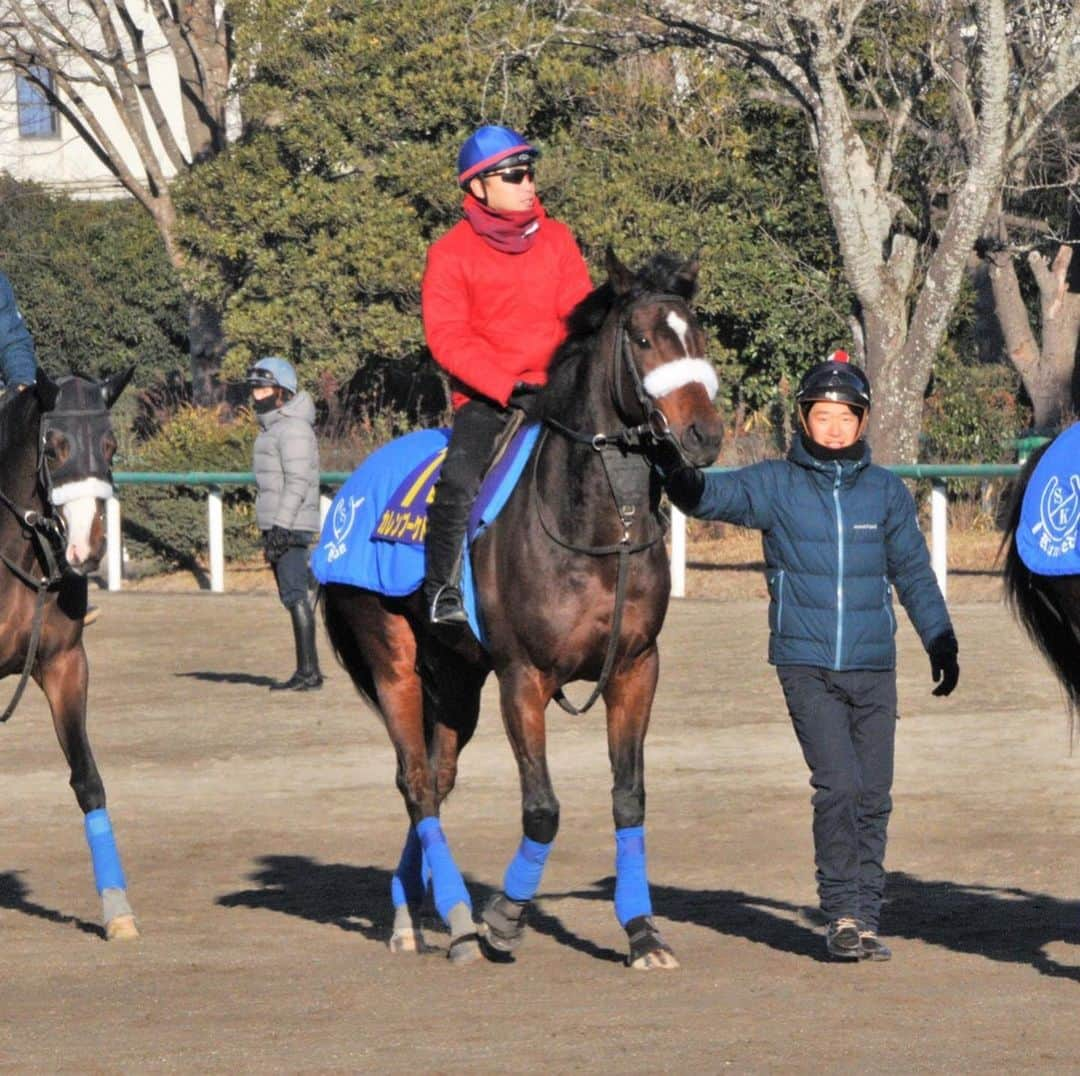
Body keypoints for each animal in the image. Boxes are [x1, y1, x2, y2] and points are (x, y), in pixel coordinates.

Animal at [321, 251, 725, 967]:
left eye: (695, 332)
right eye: (642, 338)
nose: (703, 434)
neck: (597, 529)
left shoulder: (635, 670)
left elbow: (629, 799)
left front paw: (642, 931)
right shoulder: (523, 679)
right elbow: (542, 808)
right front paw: (504, 917)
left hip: (456, 677)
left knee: (438, 778)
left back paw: (417, 909)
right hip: (393, 660)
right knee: (415, 781)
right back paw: (449, 922)